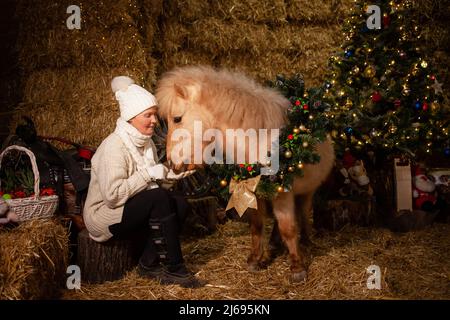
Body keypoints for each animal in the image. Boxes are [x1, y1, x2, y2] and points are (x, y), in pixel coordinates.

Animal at [156, 66, 334, 282]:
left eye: (177, 119)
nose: (173, 164)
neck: (261, 141)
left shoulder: (283, 194)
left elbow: (288, 228)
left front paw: (297, 268)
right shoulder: (254, 193)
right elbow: (257, 225)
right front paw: (255, 260)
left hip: (306, 192)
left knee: (304, 212)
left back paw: (307, 242)